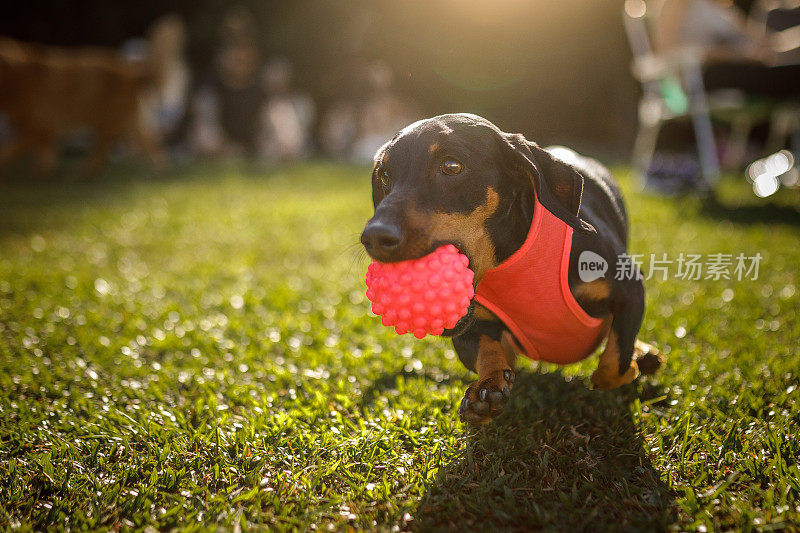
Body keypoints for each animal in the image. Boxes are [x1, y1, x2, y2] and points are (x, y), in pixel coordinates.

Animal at [0, 37, 165, 180]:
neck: (17, 77)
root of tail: (132, 73)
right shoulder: (43, 130)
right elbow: (44, 154)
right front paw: (40, 173)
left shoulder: (41, 126)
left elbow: (11, 149)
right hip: (127, 123)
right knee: (150, 144)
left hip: (107, 120)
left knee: (103, 150)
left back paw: (85, 173)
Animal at [362, 112, 664, 424]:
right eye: (384, 175)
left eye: (451, 166)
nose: (374, 237)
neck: (511, 257)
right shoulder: (472, 327)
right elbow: (488, 350)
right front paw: (488, 388)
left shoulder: (630, 287)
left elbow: (614, 365)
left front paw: (631, 366)